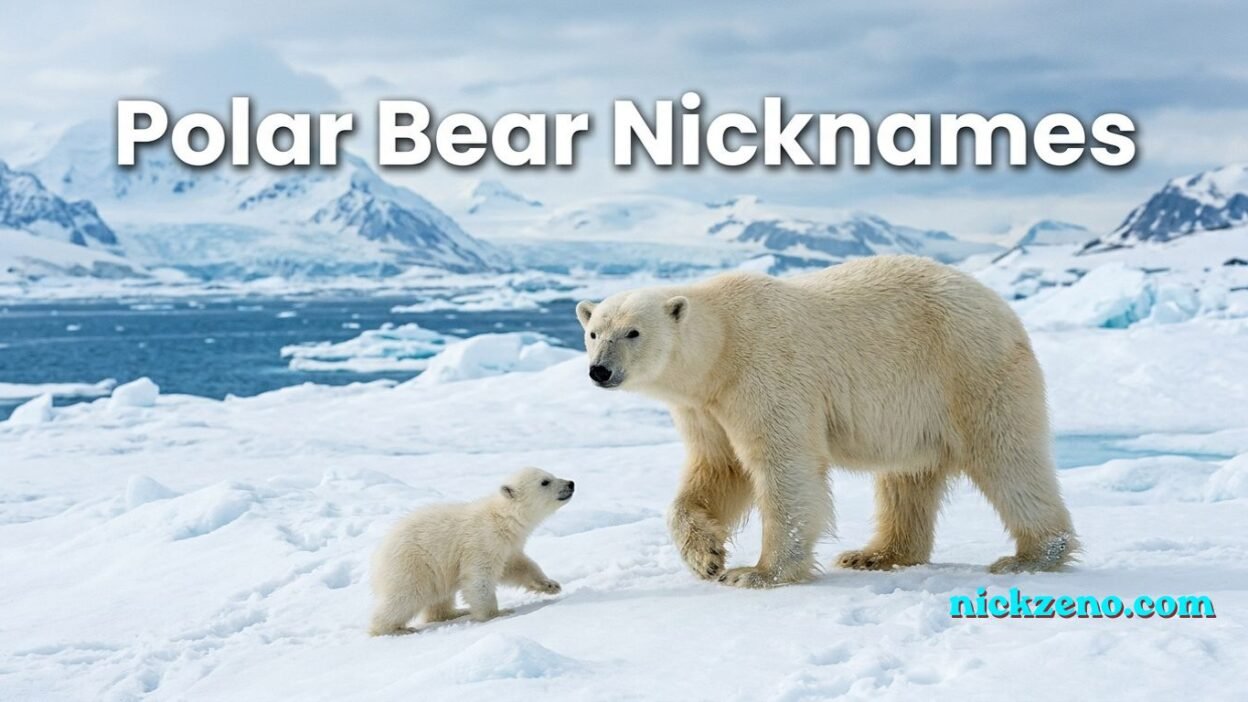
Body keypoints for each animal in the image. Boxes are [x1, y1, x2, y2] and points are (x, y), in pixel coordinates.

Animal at [368, 467, 574, 635]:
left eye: (551, 474)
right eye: (545, 481)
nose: (571, 483)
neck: (501, 519)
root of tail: (377, 558)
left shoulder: (507, 546)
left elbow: (517, 566)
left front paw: (550, 585)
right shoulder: (481, 541)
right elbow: (479, 578)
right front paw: (497, 613)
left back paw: (456, 612)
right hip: (412, 564)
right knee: (405, 596)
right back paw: (394, 629)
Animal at [576, 255, 1077, 588]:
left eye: (633, 332)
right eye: (594, 332)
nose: (600, 370)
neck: (721, 345)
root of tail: (1002, 308)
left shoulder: (764, 372)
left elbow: (783, 467)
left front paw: (757, 573)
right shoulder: (705, 406)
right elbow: (718, 469)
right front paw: (708, 557)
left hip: (969, 371)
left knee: (1007, 459)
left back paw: (1033, 556)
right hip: (917, 408)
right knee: (907, 480)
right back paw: (875, 554)